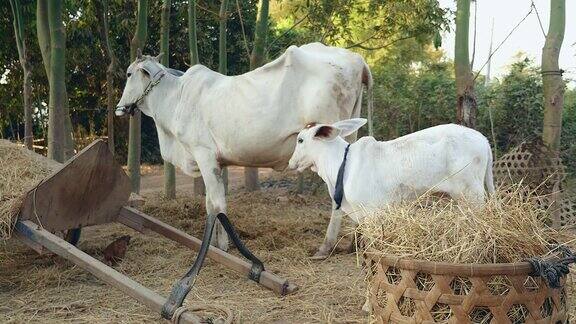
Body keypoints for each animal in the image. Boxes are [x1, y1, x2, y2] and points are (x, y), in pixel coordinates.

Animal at [117, 43, 374, 251]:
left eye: (129, 73)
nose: (120, 108)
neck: (176, 97)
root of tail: (357, 60)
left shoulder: (204, 154)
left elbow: (217, 204)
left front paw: (221, 246)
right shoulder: (216, 162)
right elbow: (212, 203)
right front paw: (217, 243)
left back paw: (326, 246)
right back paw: (354, 244)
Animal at [288, 118, 496, 258]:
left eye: (300, 140)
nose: (291, 163)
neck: (342, 165)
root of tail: (483, 140)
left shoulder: (372, 213)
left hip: (472, 195)